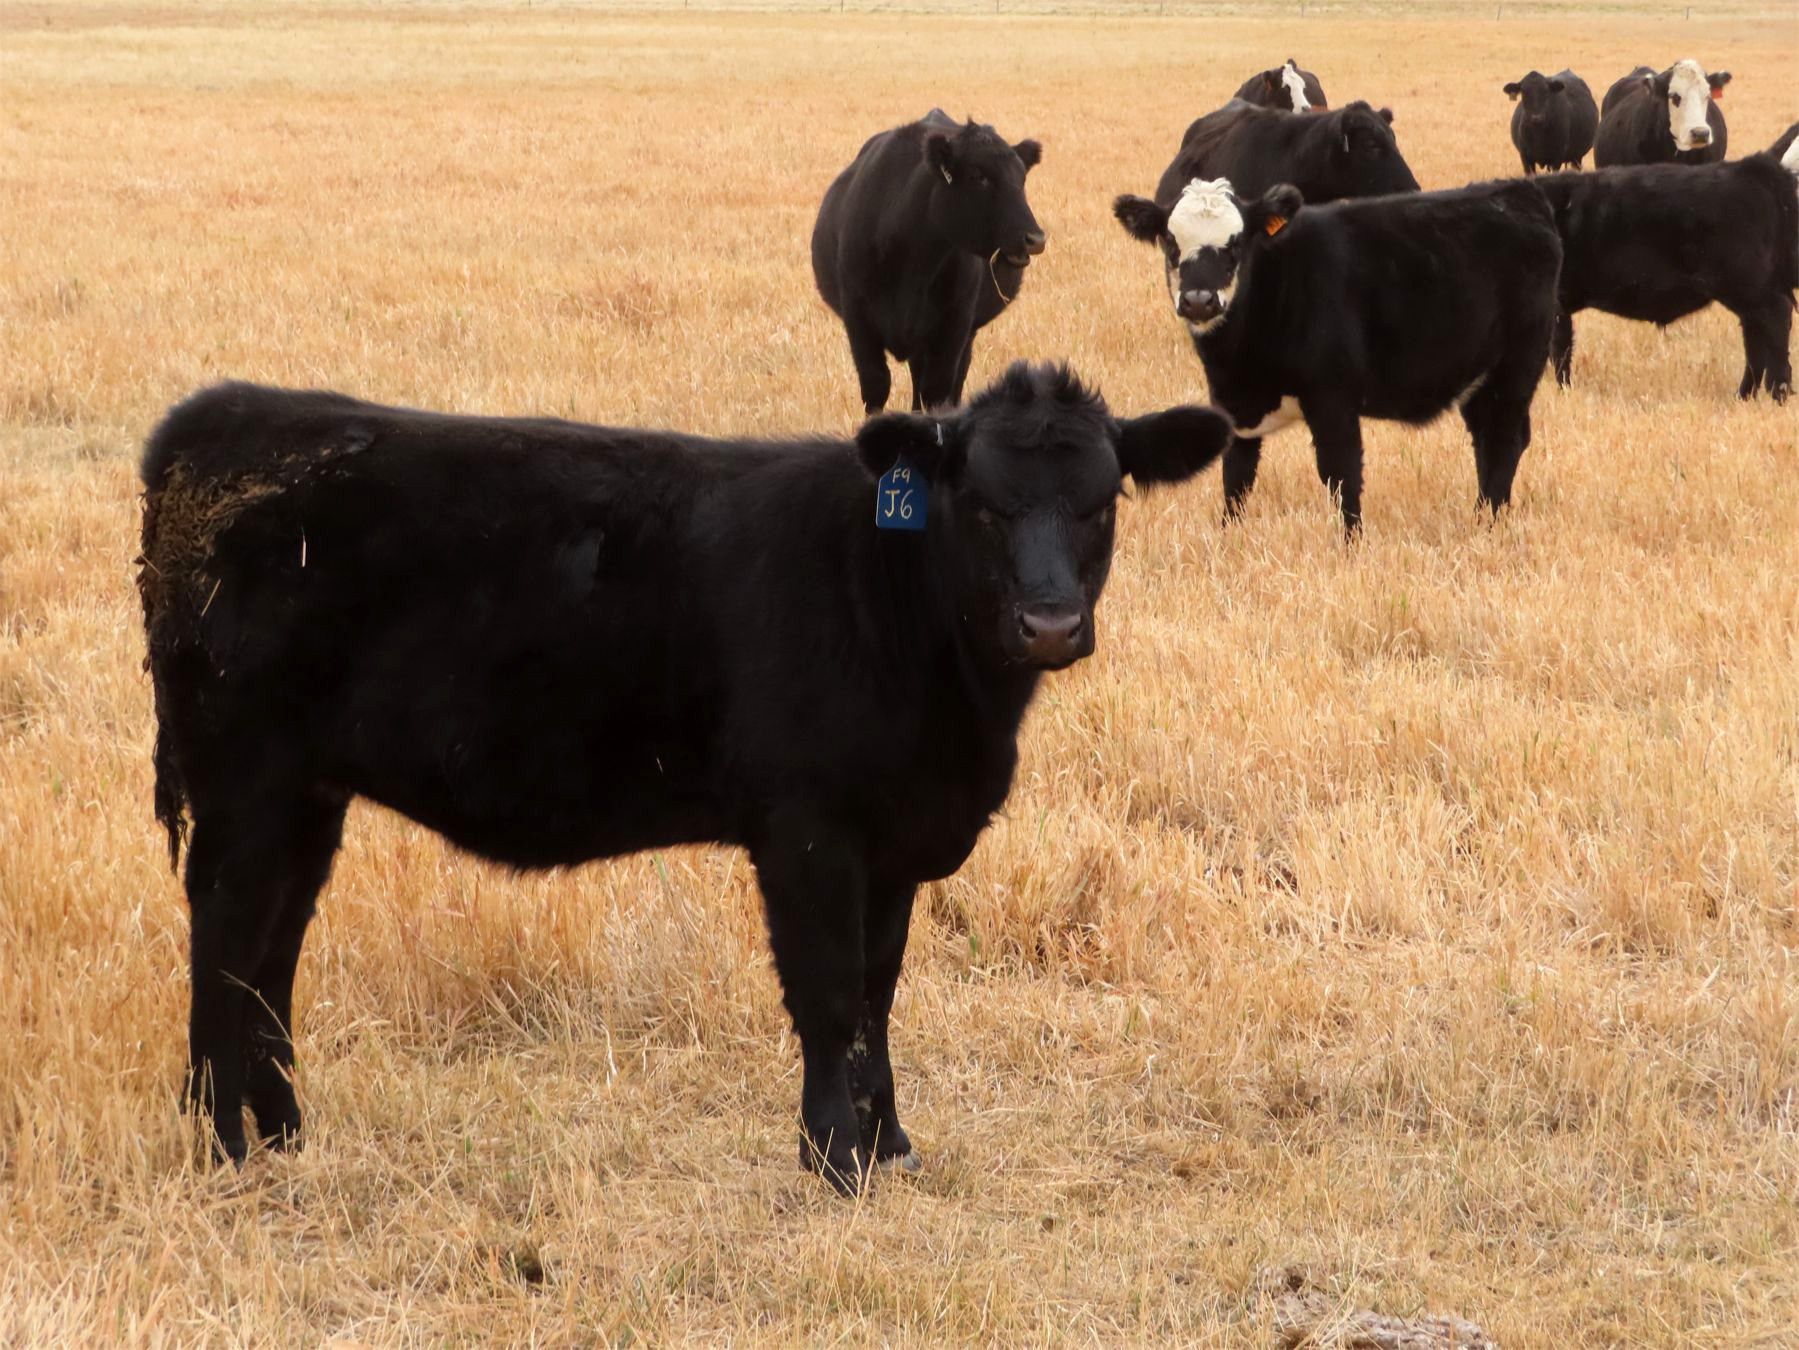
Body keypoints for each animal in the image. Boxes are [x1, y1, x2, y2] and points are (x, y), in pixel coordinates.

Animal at [137, 365, 1233, 1193]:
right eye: (980, 502)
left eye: (1102, 500)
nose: (1047, 624)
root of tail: (220, 419)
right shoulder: (805, 830)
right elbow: (827, 993)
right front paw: (834, 1159)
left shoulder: (892, 840)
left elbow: (877, 993)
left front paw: (890, 1145)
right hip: (244, 782)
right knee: (224, 940)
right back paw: (222, 1144)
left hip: (305, 797)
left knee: (271, 953)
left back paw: (284, 1132)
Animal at [812, 110, 1045, 415]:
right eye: (978, 176)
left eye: (1022, 179)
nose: (1035, 238)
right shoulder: (857, 316)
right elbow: (876, 386)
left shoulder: (954, 325)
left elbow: (936, 392)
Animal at [1113, 177, 1562, 531]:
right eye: (1171, 241)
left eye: (1236, 243)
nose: (1200, 300)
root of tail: (1517, 193)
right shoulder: (1234, 406)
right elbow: (1236, 475)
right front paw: (1228, 534)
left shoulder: (1332, 399)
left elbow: (1340, 472)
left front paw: (1350, 544)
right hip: (1479, 378)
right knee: (1487, 441)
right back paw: (1483, 517)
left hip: (1516, 368)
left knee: (1504, 440)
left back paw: (1490, 525)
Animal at [1533, 155, 1797, 401]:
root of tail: (1750, 166)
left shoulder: (1554, 304)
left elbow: (1558, 350)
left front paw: (1562, 391)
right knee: (1755, 338)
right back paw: (1744, 396)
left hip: (1745, 283)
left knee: (1775, 318)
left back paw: (1778, 391)